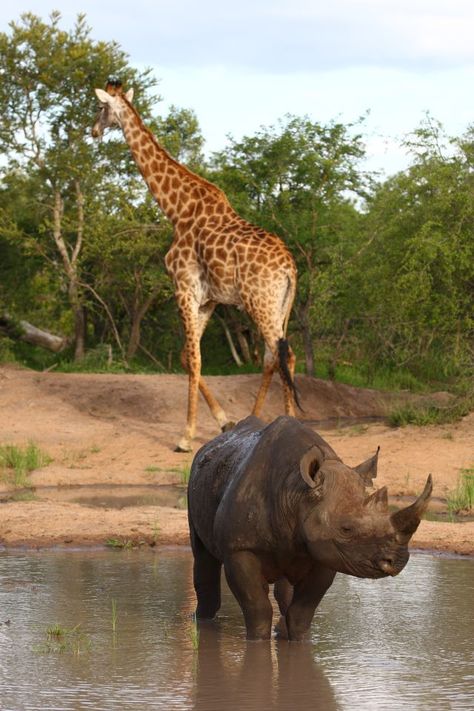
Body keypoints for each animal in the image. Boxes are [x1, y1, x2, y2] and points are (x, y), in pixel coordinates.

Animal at [92, 80, 300, 450]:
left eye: (100, 108)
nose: (93, 131)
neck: (176, 210)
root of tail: (290, 267)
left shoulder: (184, 288)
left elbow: (194, 357)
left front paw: (185, 437)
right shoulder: (209, 299)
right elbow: (187, 356)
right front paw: (223, 421)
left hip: (260, 302)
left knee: (282, 355)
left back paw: (284, 422)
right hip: (279, 306)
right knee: (274, 355)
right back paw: (256, 421)